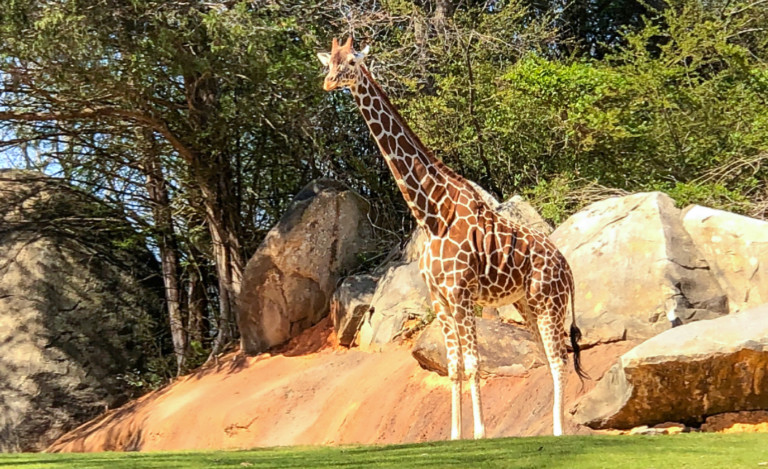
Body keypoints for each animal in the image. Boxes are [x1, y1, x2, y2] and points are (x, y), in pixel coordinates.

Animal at [318, 37, 588, 438]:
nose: (329, 83)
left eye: (351, 61)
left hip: (548, 302)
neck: (432, 214)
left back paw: (558, 431)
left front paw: (480, 434)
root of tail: (567, 268)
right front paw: (455, 435)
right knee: (546, 355)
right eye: (329, 62)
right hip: (526, 303)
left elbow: (474, 363)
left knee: (558, 358)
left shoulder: (461, 294)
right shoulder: (439, 298)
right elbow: (454, 366)